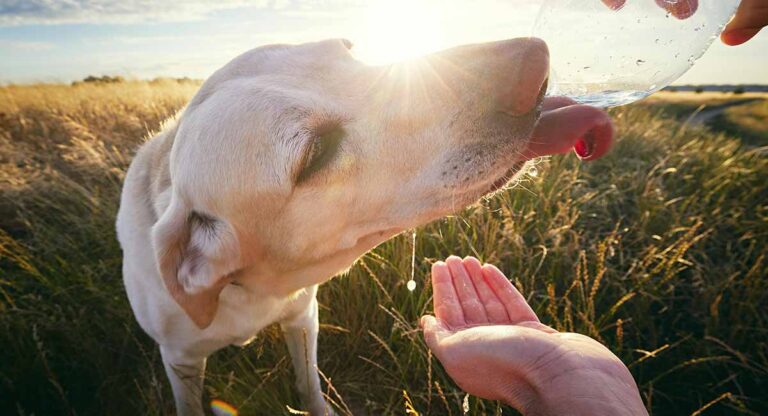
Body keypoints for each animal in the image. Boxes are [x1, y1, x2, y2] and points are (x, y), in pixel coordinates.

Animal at [117, 37, 616, 414]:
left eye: (349, 51)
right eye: (315, 153)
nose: (536, 58)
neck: (246, 290)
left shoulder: (303, 318)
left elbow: (310, 385)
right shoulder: (180, 361)